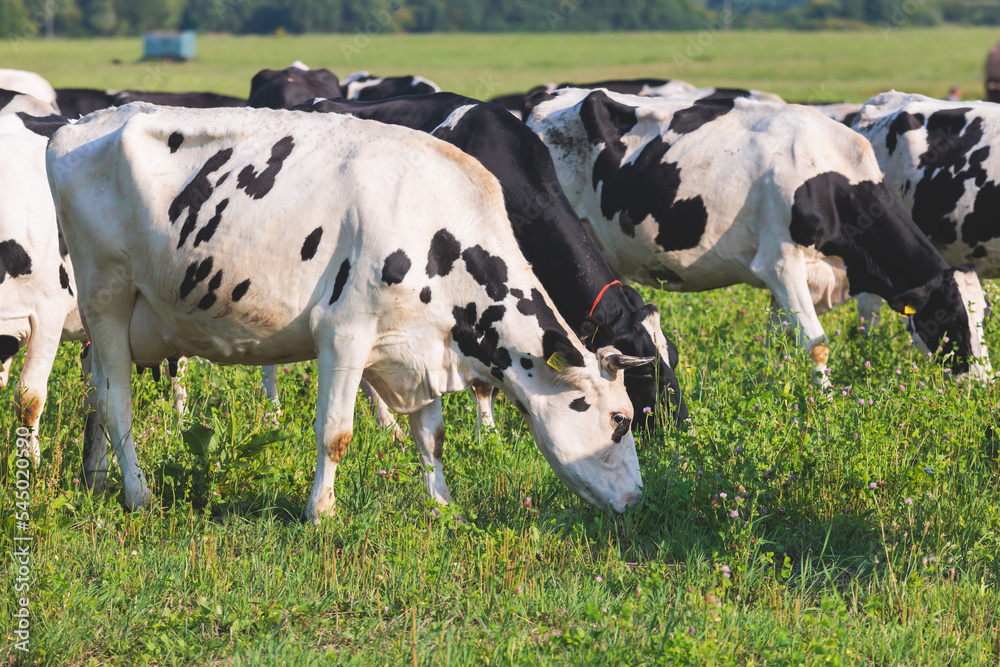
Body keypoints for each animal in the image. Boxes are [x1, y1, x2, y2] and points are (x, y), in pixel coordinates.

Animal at [48, 105, 648, 520]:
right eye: (619, 419)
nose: (640, 498)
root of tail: (75, 127)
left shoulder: (420, 346)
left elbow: (431, 435)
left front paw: (443, 506)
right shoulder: (344, 332)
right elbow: (336, 432)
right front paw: (322, 512)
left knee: (96, 398)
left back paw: (96, 478)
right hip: (106, 295)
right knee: (117, 402)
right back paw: (138, 494)